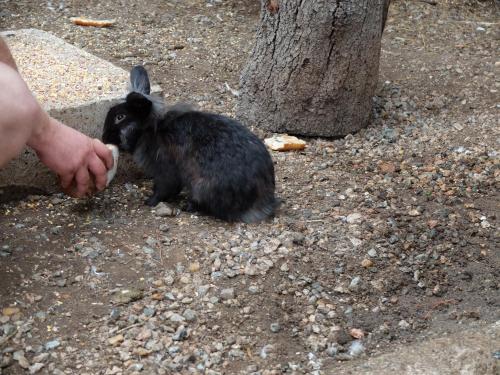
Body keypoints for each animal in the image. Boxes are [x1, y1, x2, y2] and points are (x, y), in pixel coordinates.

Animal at [102, 65, 280, 223]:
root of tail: (261, 204)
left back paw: (188, 206)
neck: (149, 130)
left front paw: (149, 202)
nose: (103, 138)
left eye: (120, 117)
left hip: (202, 186)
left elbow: (163, 189)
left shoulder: (165, 171)